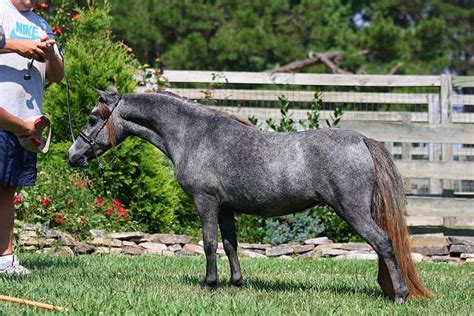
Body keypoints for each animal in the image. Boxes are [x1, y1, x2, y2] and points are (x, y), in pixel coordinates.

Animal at [68, 87, 432, 302]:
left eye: (92, 118)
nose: (73, 156)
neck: (194, 135)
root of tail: (362, 140)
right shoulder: (226, 207)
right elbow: (230, 244)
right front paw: (236, 283)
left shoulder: (206, 202)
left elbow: (209, 243)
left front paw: (209, 284)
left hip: (353, 211)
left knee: (383, 242)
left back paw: (399, 295)